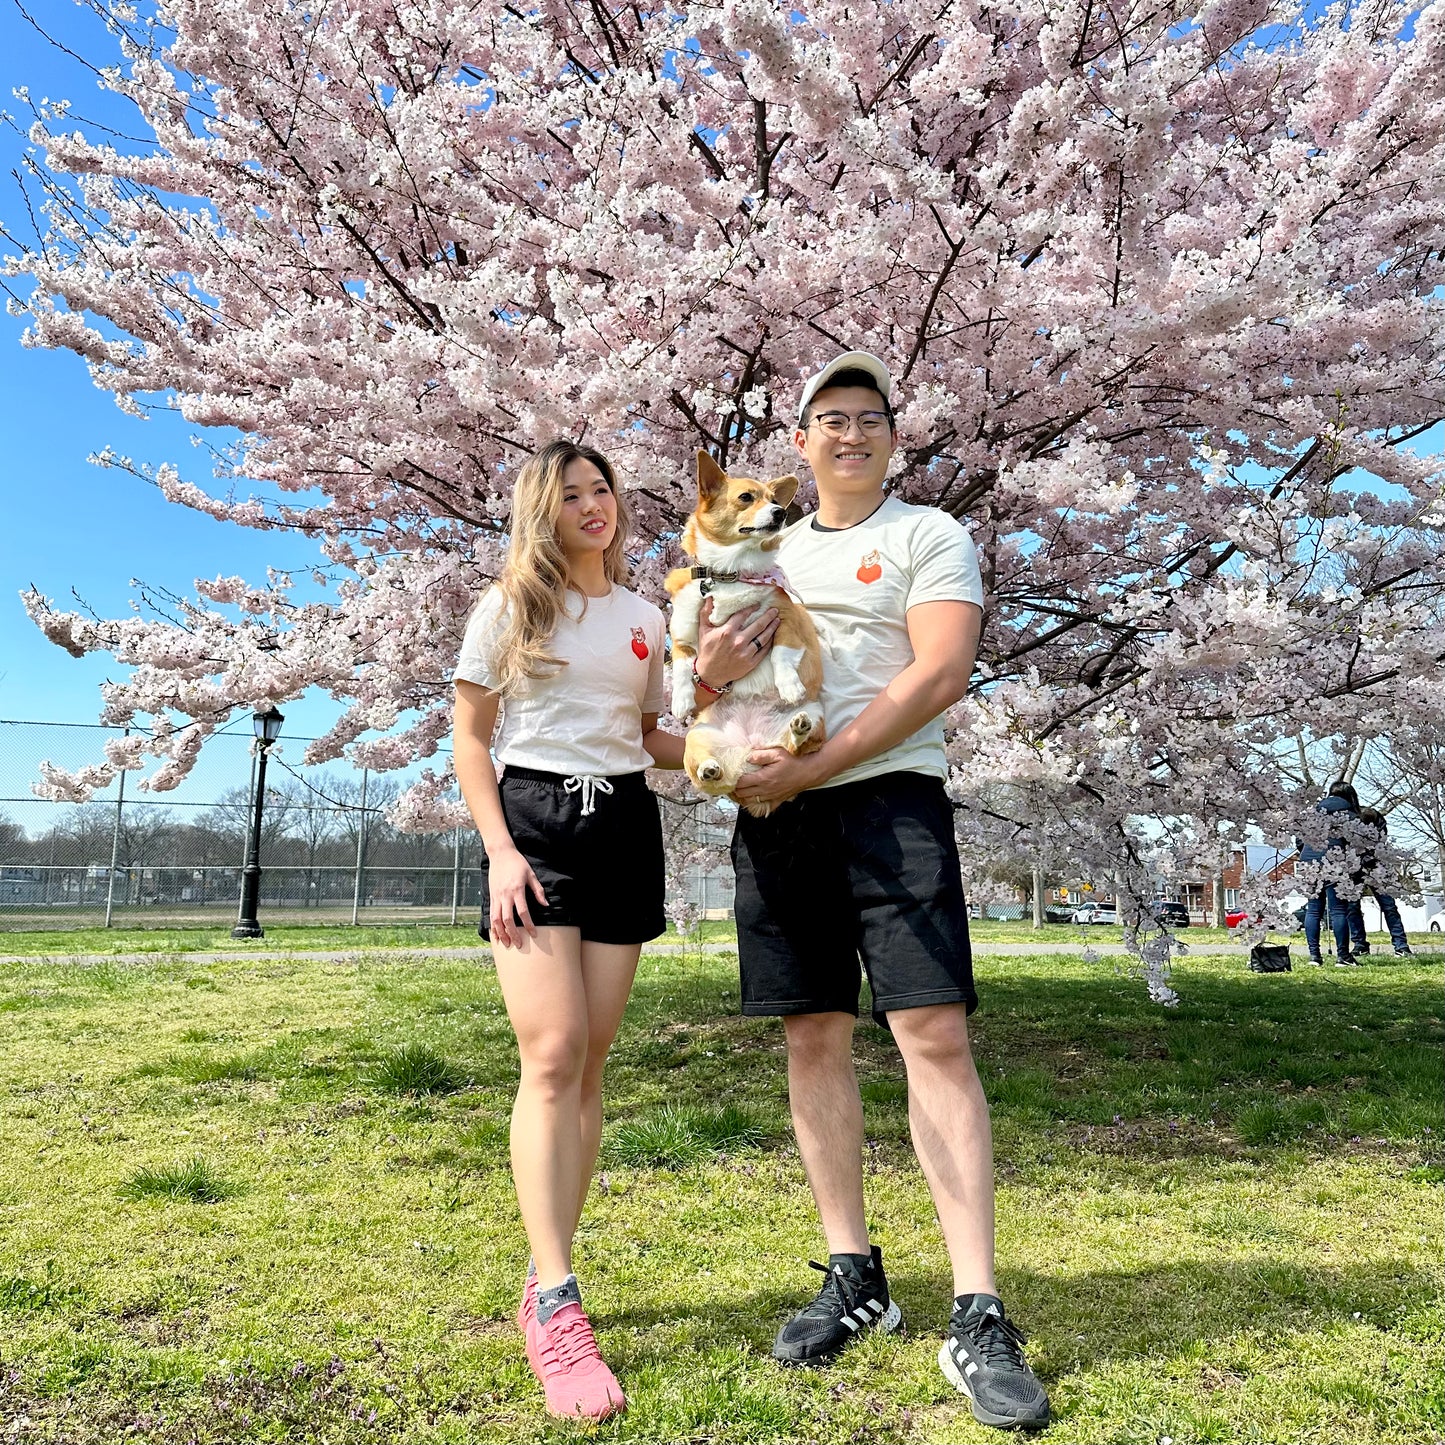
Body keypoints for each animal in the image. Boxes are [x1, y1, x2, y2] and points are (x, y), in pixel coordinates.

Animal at [664, 450, 826, 814]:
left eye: (774, 500)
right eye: (746, 498)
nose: (780, 512)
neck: (731, 571)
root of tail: (750, 751)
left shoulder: (785, 619)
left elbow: (781, 654)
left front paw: (790, 686)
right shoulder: (681, 635)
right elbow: (682, 668)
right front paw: (680, 701)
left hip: (817, 715)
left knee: (796, 748)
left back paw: (799, 727)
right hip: (697, 737)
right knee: (712, 778)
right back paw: (710, 768)